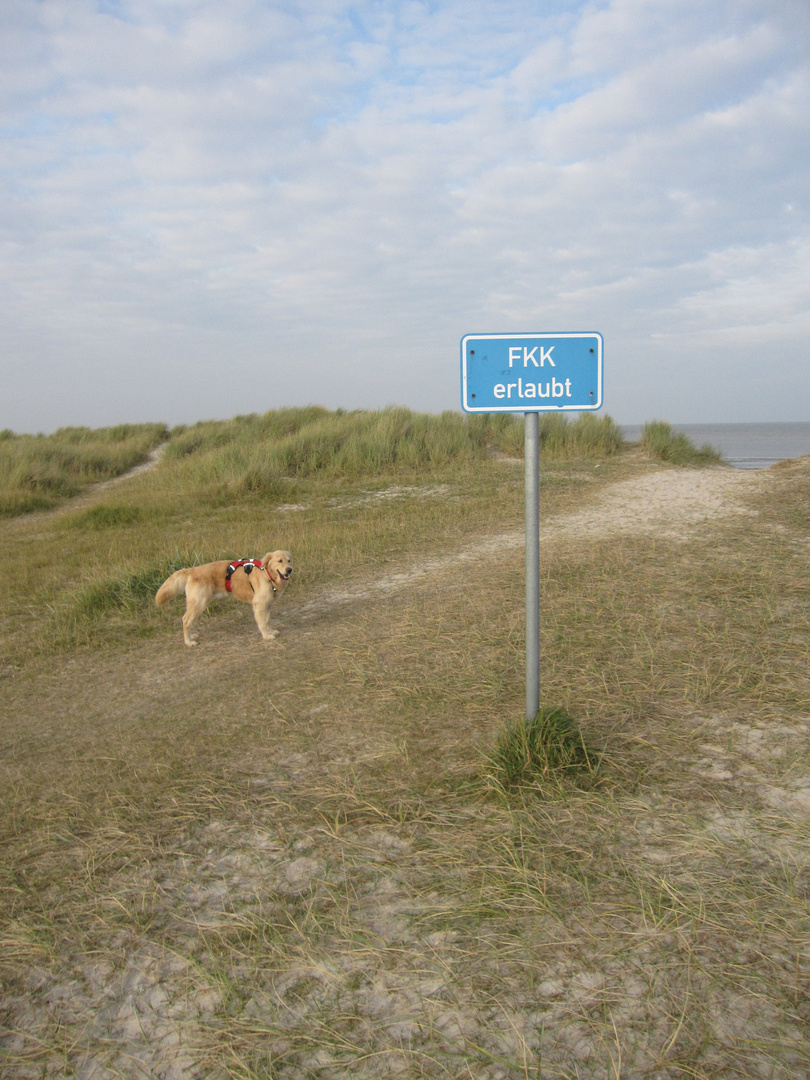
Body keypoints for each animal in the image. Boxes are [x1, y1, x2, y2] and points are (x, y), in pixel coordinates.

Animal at [155, 552, 291, 643]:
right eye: (280, 561)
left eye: (289, 560)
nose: (289, 570)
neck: (267, 574)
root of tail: (191, 570)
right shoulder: (259, 605)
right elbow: (262, 623)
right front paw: (266, 636)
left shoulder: (268, 605)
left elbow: (267, 621)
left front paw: (270, 631)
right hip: (199, 603)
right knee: (185, 620)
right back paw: (188, 642)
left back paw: (191, 635)